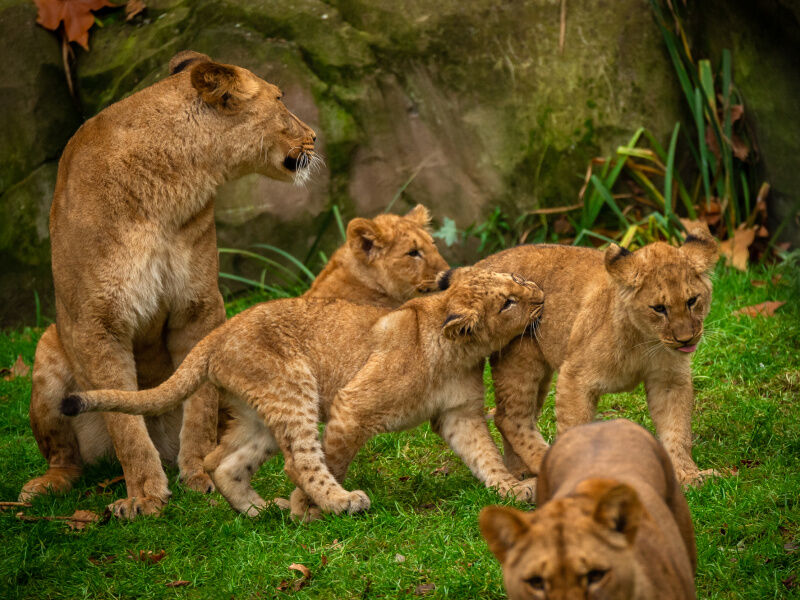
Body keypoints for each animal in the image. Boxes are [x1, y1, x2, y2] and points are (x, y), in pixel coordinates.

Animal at [19, 50, 318, 518]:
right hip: (48, 352)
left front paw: (196, 475)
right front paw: (144, 495)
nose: (315, 138)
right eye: (279, 99)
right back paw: (44, 488)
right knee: (66, 458)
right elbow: (125, 421)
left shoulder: (200, 307)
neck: (170, 185)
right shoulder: (97, 323)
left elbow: (198, 406)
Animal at [60, 268, 544, 518]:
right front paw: (308, 510)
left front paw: (511, 490)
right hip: (294, 387)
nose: (541, 294)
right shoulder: (354, 405)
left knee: (222, 461)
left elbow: (485, 456)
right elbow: (333, 457)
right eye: (507, 302)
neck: (459, 353)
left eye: (516, 279)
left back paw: (259, 511)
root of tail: (217, 334)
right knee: (299, 460)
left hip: (261, 411)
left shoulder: (460, 415)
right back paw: (336, 501)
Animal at [476, 224, 719, 484]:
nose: (686, 339)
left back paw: (519, 472)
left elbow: (677, 430)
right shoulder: (574, 377)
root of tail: (484, 264)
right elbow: (574, 429)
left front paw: (689, 475)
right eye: (659, 308)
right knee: (510, 419)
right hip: (520, 360)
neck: (645, 339)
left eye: (692, 301)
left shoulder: (669, 380)